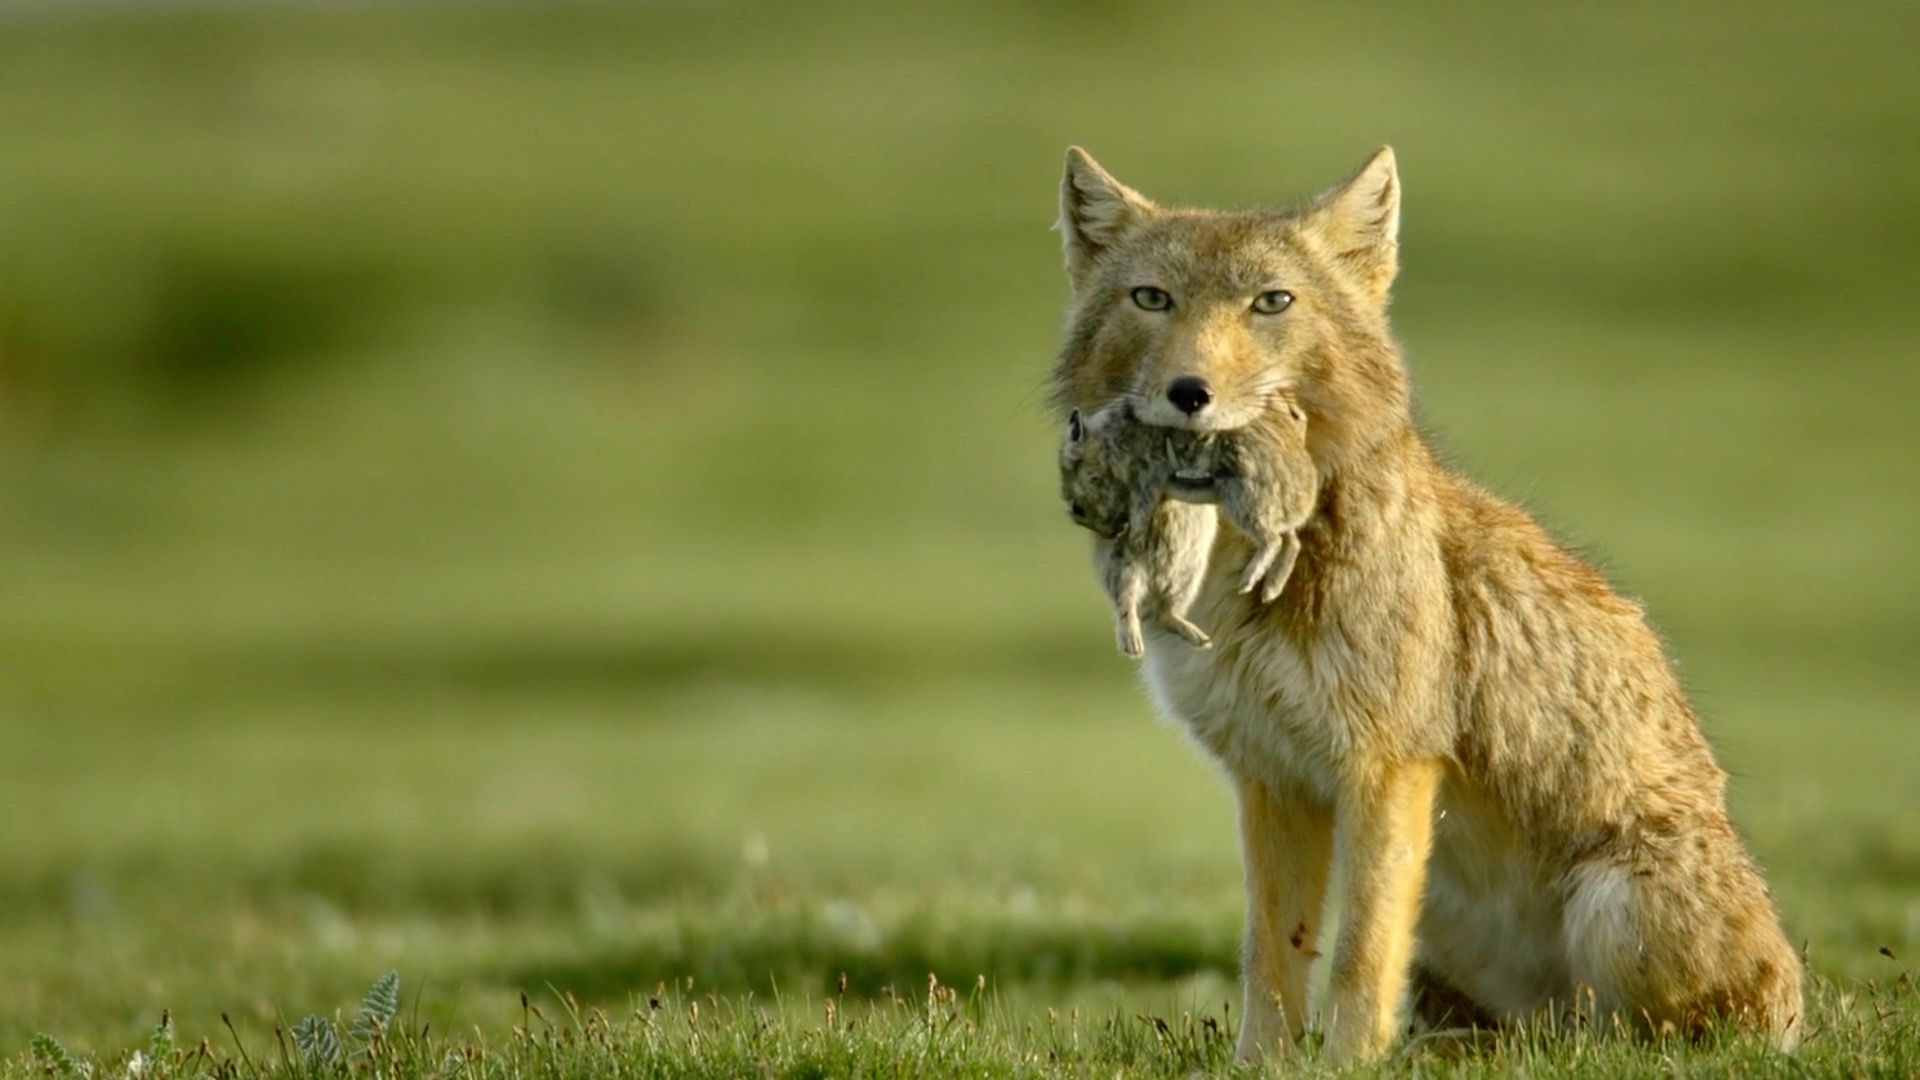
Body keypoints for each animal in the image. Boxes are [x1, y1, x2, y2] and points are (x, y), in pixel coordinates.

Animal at [1060, 398, 1318, 656]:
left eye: (1078, 509)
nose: (1115, 532)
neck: (1103, 442)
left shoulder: (1145, 475)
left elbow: (1143, 503)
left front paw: (1137, 530)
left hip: (1241, 504)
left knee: (1274, 540)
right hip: (1148, 572)